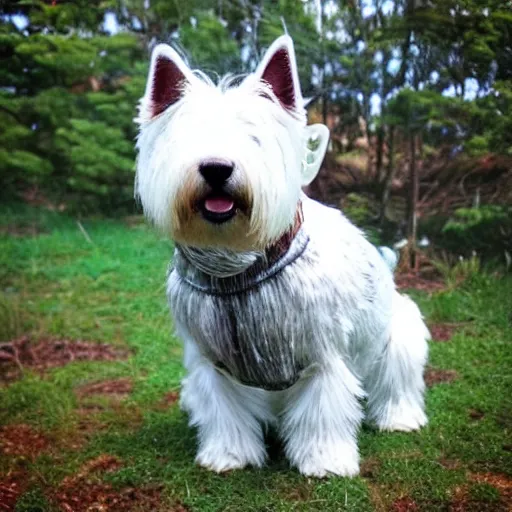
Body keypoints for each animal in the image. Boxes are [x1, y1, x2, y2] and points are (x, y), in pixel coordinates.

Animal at [134, 37, 430, 480]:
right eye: (191, 136)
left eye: (253, 137)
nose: (217, 168)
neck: (237, 268)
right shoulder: (212, 359)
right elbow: (224, 410)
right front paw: (229, 455)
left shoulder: (322, 352)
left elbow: (323, 410)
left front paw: (325, 461)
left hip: (400, 334)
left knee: (397, 384)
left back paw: (399, 418)